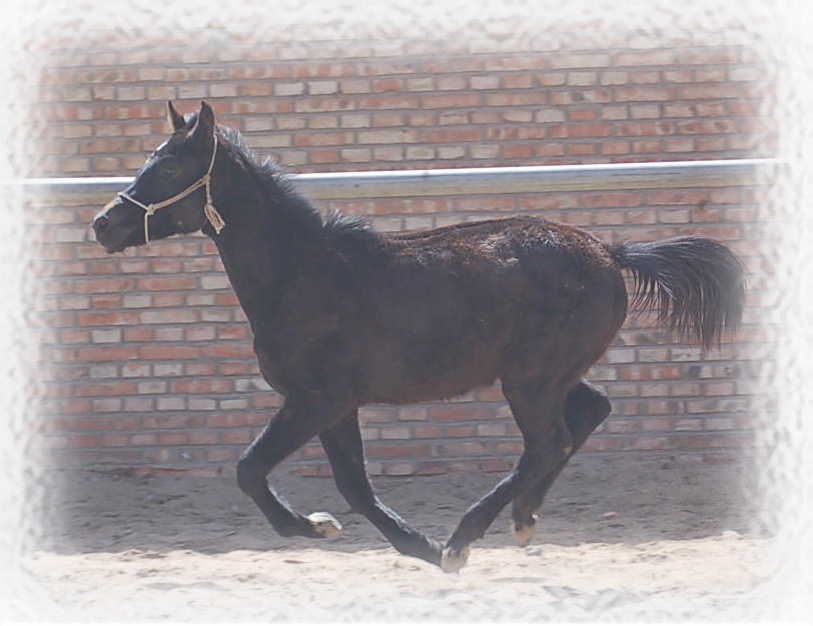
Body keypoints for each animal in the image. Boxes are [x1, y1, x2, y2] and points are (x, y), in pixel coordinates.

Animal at [90, 98, 744, 572]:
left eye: (170, 165)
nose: (104, 224)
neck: (302, 272)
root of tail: (611, 252)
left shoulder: (316, 397)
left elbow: (251, 469)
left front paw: (329, 530)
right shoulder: (336, 405)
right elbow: (354, 486)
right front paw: (389, 540)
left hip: (531, 380)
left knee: (548, 441)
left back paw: (465, 538)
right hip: (551, 373)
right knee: (587, 415)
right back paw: (520, 520)